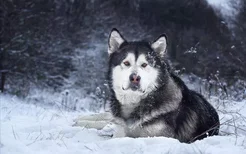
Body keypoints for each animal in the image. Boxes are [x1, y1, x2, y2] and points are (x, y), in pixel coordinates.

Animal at [74, 28, 220, 143]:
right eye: (126, 63)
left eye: (144, 64)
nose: (135, 78)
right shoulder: (121, 130)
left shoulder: (158, 137)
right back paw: (80, 120)